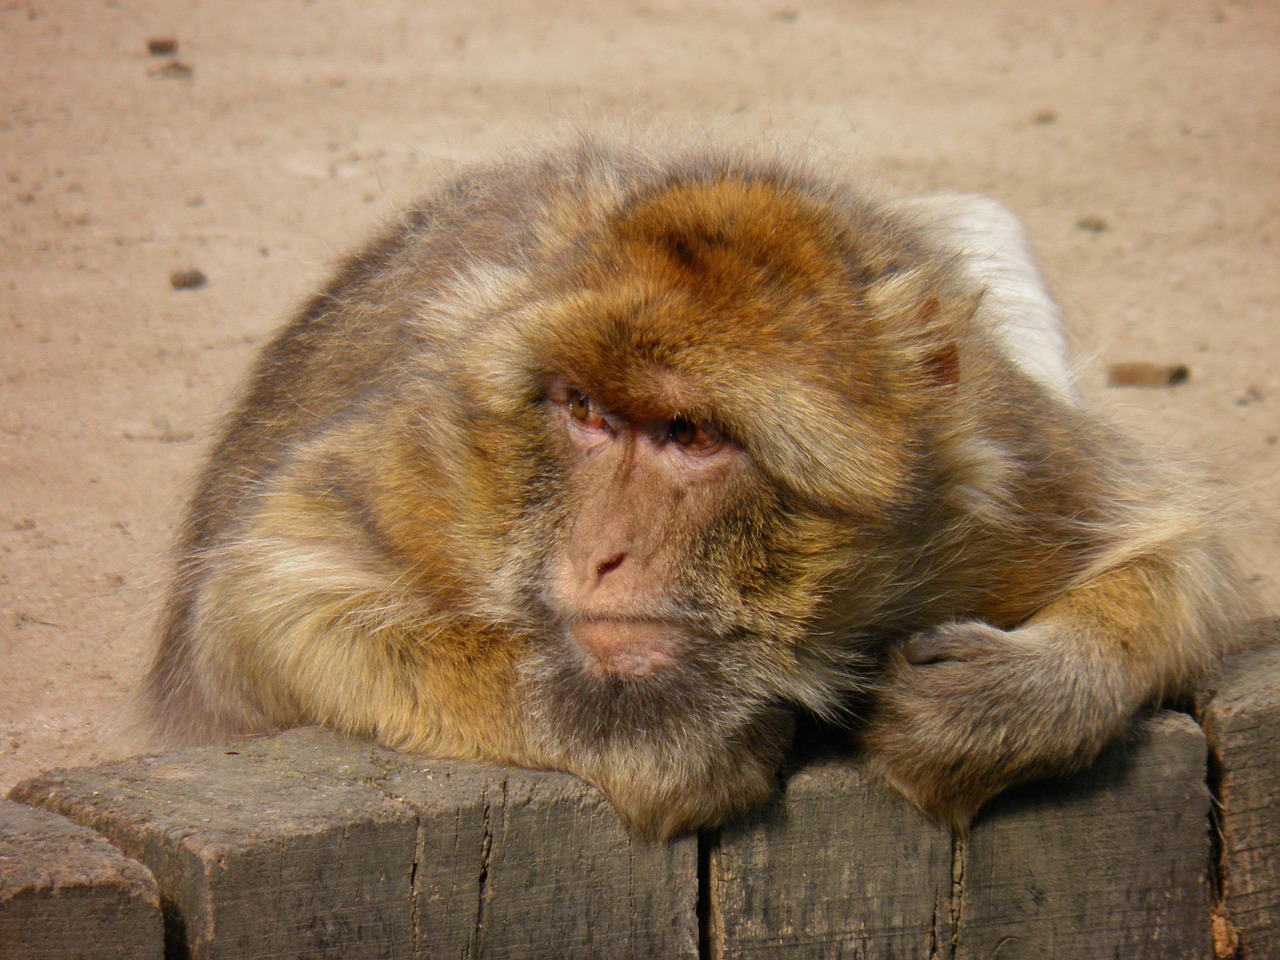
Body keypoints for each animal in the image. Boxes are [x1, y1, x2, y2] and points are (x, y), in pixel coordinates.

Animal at [142, 138, 1249, 839]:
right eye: (586, 412)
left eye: (688, 436)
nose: (598, 554)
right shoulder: (438, 475)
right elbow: (254, 607)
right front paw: (655, 736)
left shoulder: (997, 487)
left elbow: (1182, 555)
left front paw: (999, 700)